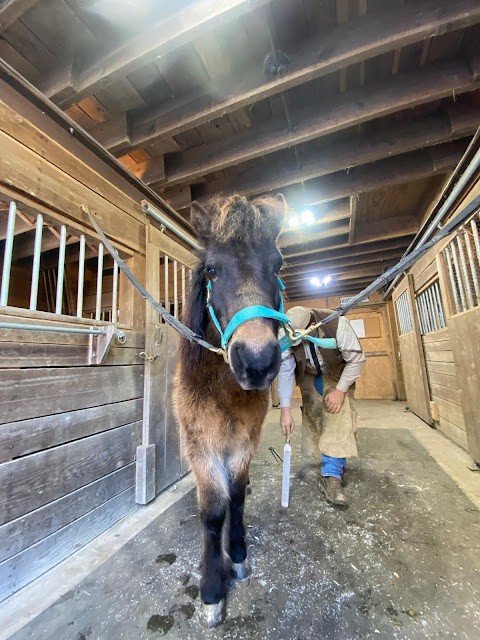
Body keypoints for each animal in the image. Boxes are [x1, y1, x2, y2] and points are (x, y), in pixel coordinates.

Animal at [173, 193, 287, 627]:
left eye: (278, 265)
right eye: (212, 270)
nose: (256, 361)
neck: (223, 389)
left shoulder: (245, 440)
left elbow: (235, 497)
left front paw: (236, 556)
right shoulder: (200, 445)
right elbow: (212, 511)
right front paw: (212, 591)